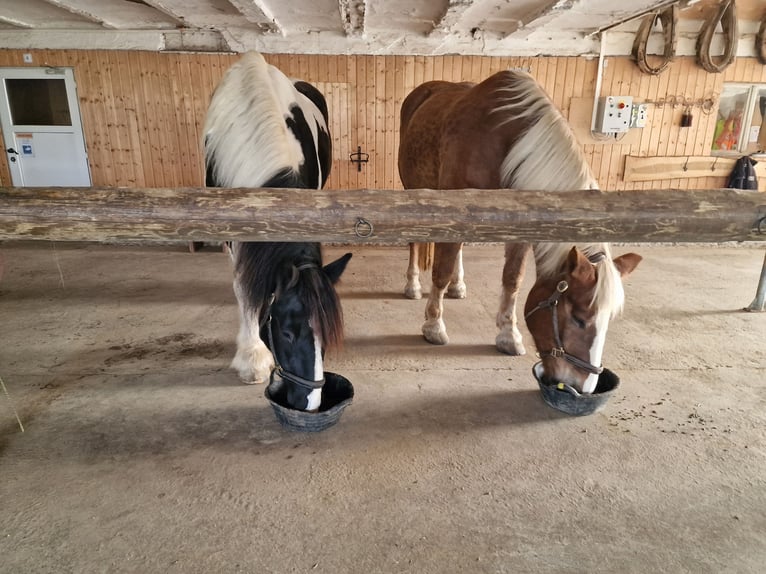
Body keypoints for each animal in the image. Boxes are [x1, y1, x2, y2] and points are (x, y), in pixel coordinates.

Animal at [398, 70, 642, 394]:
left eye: (609, 320)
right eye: (579, 319)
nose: (582, 386)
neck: (503, 142)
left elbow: (512, 280)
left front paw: (508, 335)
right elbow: (441, 270)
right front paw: (433, 326)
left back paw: (458, 287)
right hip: (412, 189)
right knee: (416, 244)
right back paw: (412, 285)